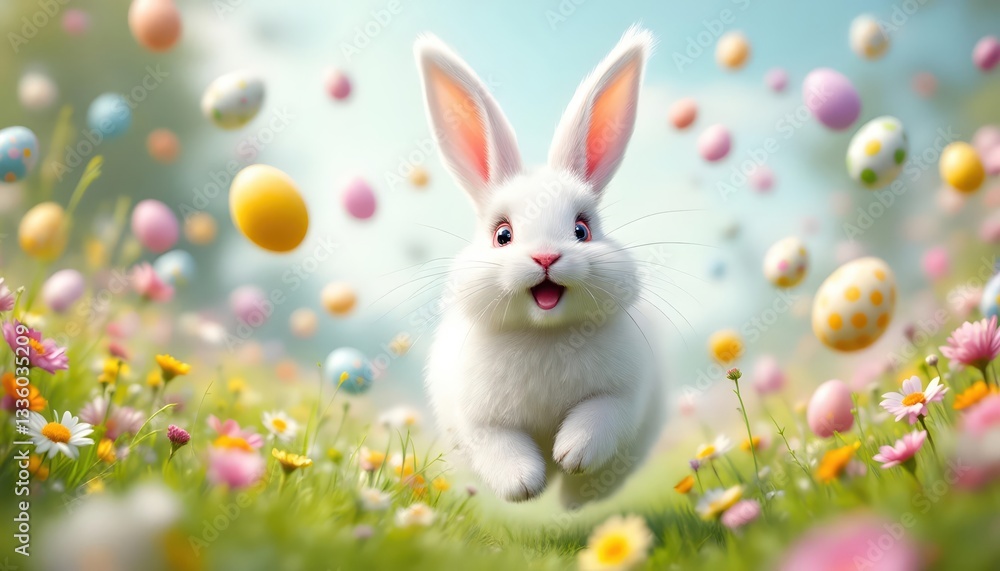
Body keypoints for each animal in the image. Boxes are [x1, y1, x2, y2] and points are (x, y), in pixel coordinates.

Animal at [415, 26, 663, 508]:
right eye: (502, 235)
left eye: (583, 229)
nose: (546, 256)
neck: (544, 334)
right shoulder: (478, 419)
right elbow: (500, 445)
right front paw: (524, 484)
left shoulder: (624, 395)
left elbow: (599, 417)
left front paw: (571, 454)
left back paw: (572, 498)